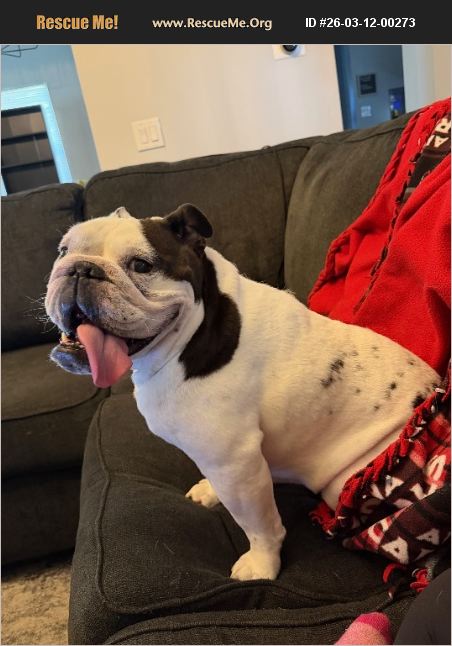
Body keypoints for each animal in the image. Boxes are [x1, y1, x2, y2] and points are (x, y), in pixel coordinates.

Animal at [45, 203, 440, 581]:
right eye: (63, 250)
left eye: (141, 265)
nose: (80, 269)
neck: (191, 332)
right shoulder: (226, 462)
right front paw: (210, 491)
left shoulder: (233, 461)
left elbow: (259, 524)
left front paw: (262, 564)